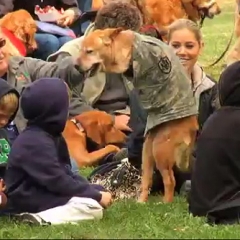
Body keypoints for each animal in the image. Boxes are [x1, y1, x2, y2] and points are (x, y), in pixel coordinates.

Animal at [77, 27, 199, 202]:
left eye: (90, 51)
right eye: (81, 50)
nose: (76, 66)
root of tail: (193, 127)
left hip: (159, 152)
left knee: (170, 180)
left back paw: (165, 202)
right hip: (148, 151)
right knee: (147, 180)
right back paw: (142, 201)